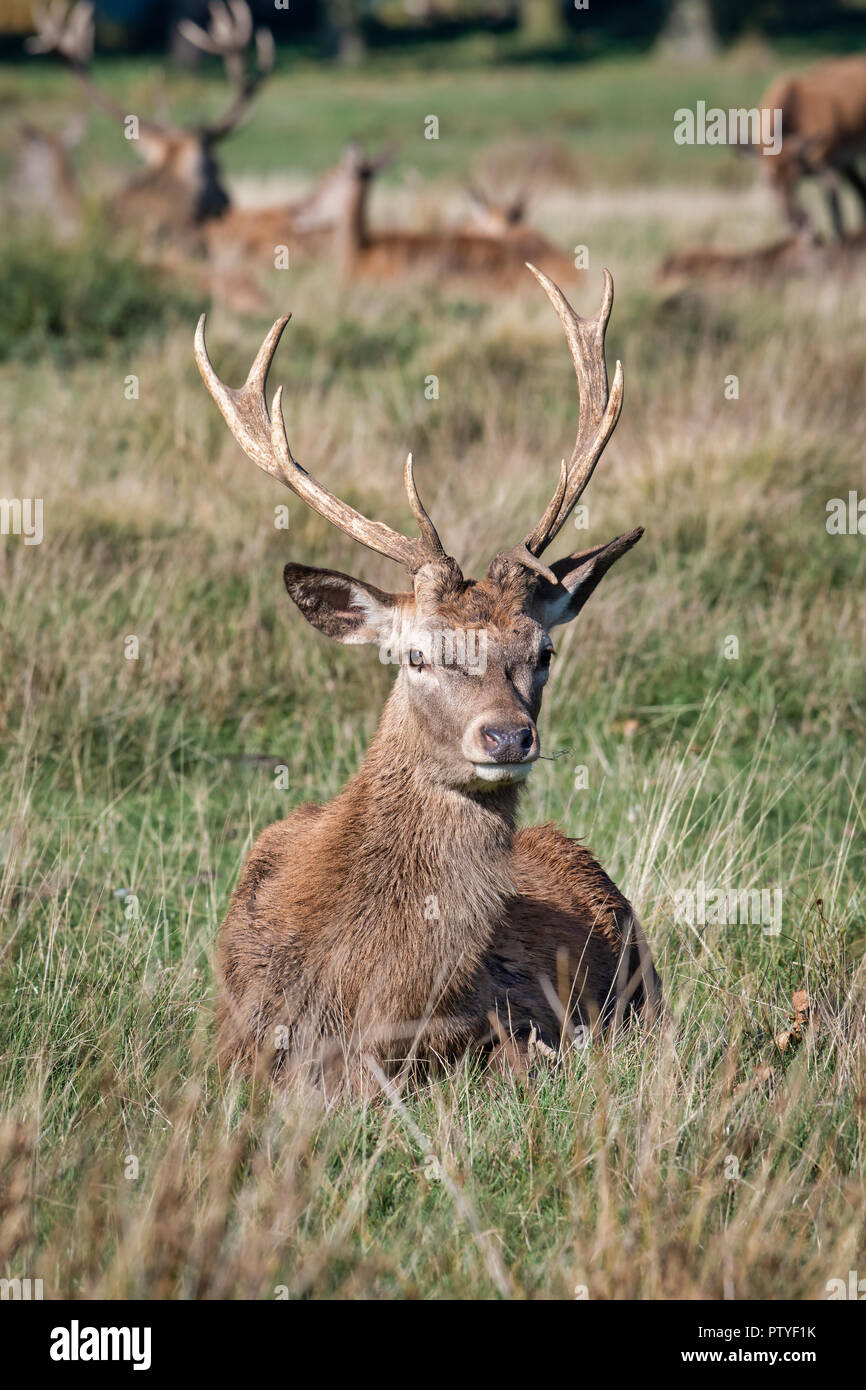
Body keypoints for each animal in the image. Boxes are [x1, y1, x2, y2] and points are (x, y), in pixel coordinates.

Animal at [756, 54, 866, 237]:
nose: (793, 219)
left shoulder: (826, 165)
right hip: (846, 162)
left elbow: (835, 209)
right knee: (860, 189)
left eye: (795, 178)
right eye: (768, 180)